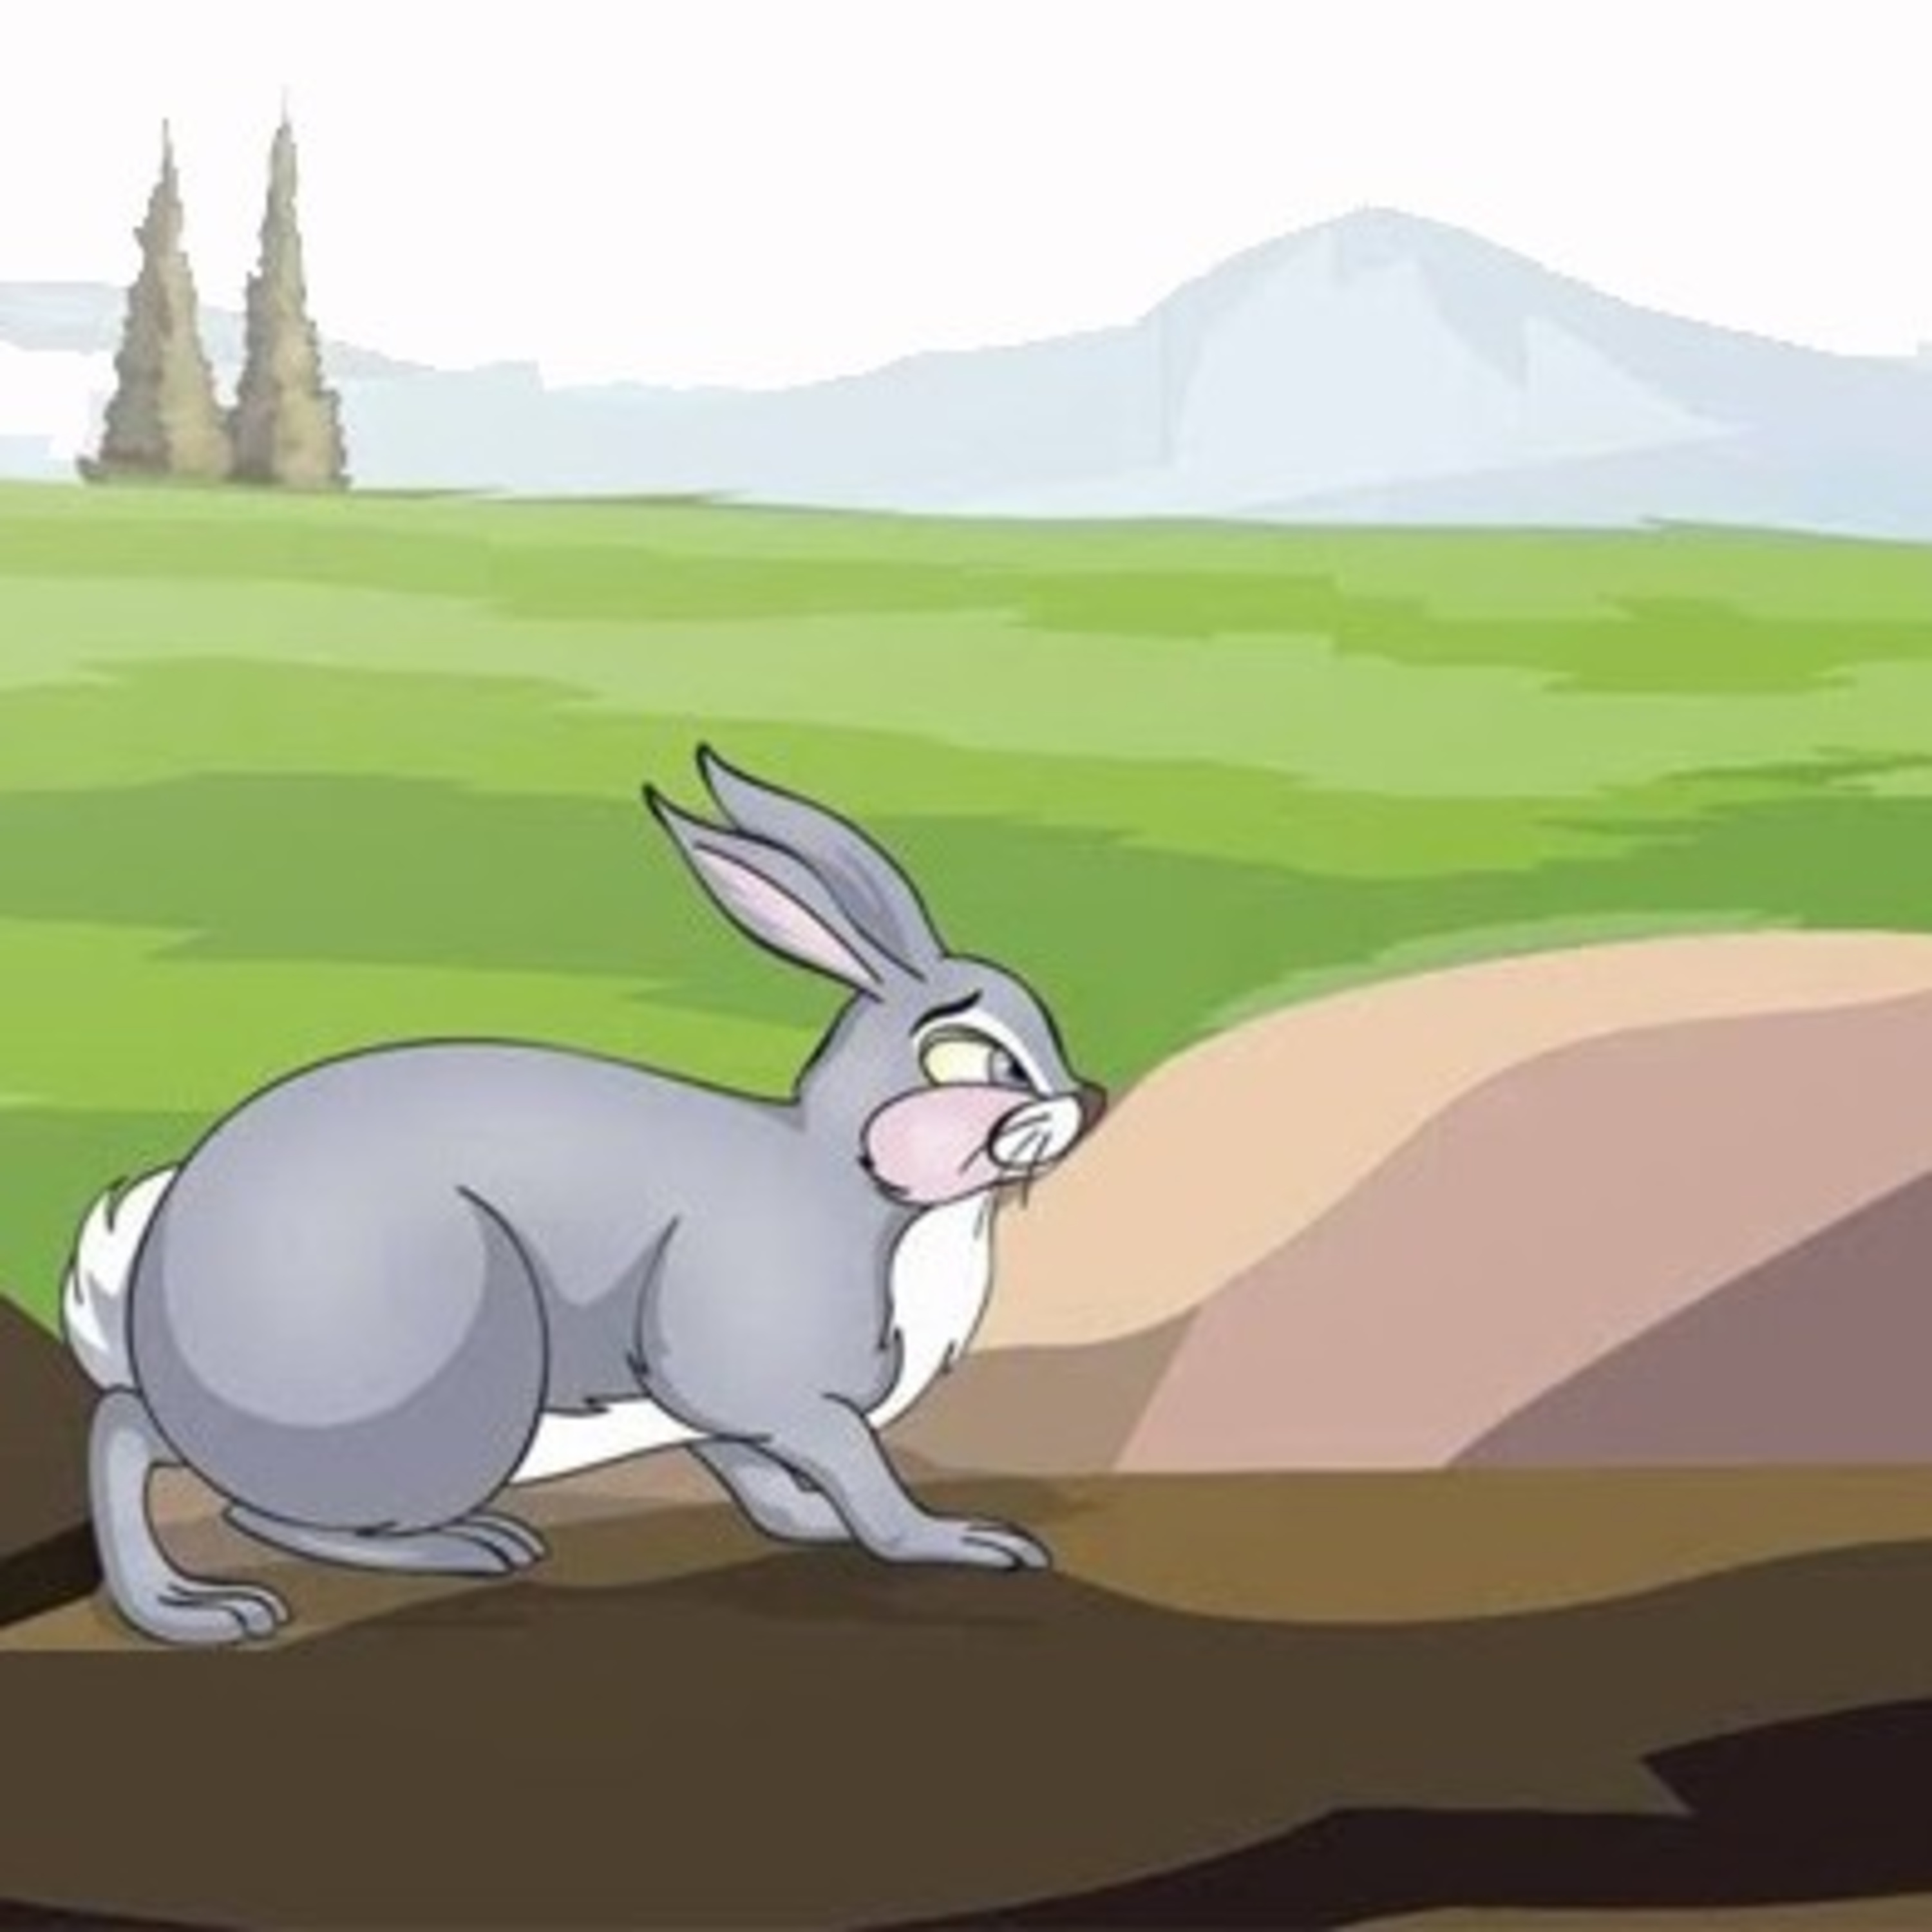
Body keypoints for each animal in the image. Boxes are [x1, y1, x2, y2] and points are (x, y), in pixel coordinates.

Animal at [61, 747, 1106, 1646]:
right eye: (969, 1059)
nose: (1087, 1101)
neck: (855, 1173)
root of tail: (140, 1289)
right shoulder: (771, 1384)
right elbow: (864, 1479)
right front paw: (963, 1541)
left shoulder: (711, 1410)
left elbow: (762, 1482)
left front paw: (809, 1521)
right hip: (454, 1388)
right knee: (209, 1478)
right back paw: (329, 1582)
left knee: (151, 1437)